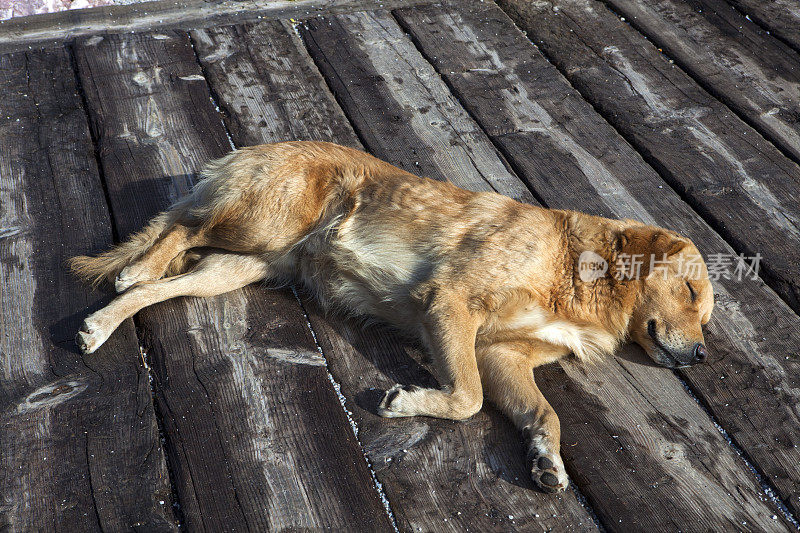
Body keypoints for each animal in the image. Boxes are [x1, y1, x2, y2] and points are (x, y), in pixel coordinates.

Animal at [72, 140, 716, 490]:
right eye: (690, 292)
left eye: (706, 316)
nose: (703, 354)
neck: (577, 273)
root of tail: (246, 151)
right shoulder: (451, 301)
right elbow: (468, 397)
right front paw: (408, 402)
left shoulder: (503, 354)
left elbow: (542, 414)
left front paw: (546, 461)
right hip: (266, 221)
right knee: (180, 227)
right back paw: (139, 266)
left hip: (238, 266)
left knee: (168, 274)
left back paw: (104, 321)